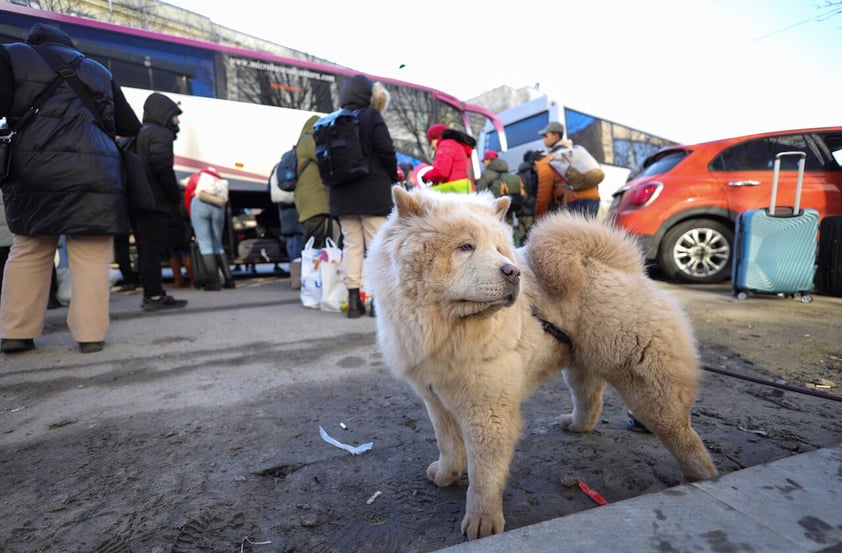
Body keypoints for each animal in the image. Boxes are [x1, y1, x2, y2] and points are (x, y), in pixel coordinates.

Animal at [362, 188, 716, 540]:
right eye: (465, 247)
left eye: (499, 249)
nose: (512, 271)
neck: (444, 328)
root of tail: (626, 269)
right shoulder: (435, 397)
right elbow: (447, 443)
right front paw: (445, 475)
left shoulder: (485, 409)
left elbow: (484, 472)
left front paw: (482, 521)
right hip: (581, 366)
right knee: (590, 400)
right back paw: (576, 425)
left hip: (649, 389)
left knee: (682, 435)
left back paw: (698, 478)